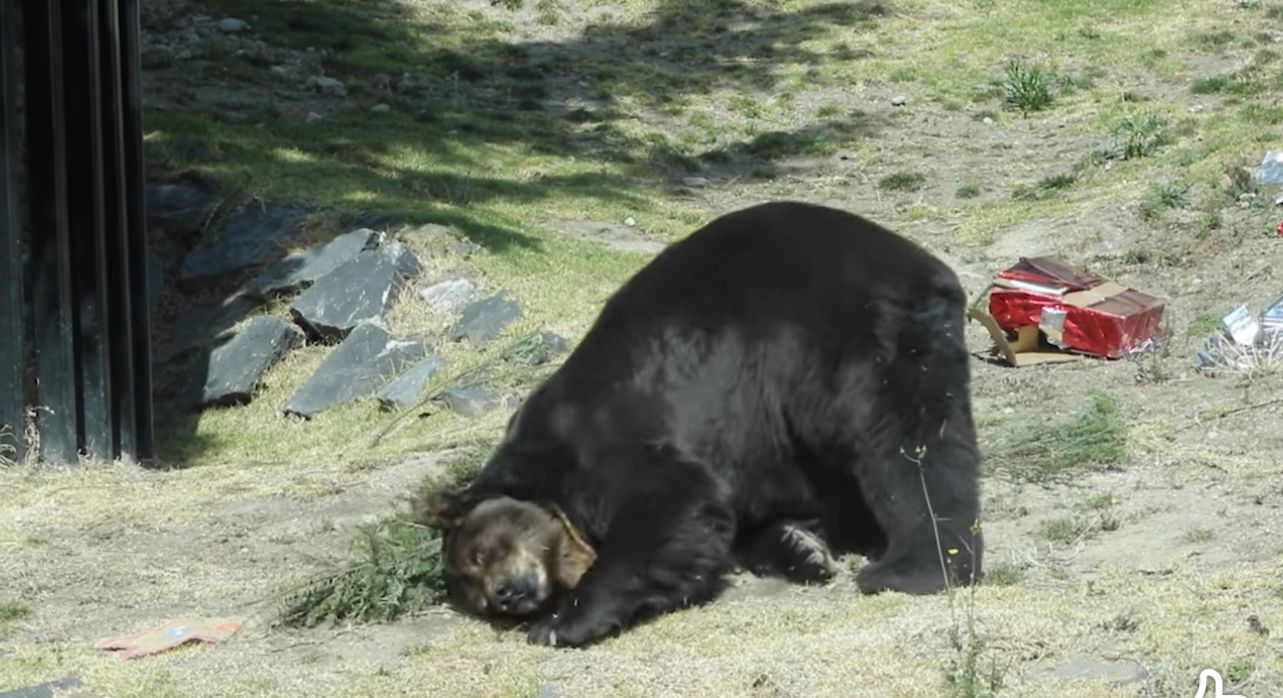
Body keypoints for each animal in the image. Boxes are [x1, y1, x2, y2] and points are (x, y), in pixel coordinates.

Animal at [420, 200, 980, 649]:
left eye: (485, 552)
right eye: (477, 592)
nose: (507, 595)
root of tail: (922, 266)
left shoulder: (598, 439)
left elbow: (673, 496)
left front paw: (562, 622)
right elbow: (727, 520)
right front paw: (801, 547)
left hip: (843, 338)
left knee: (902, 442)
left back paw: (917, 565)